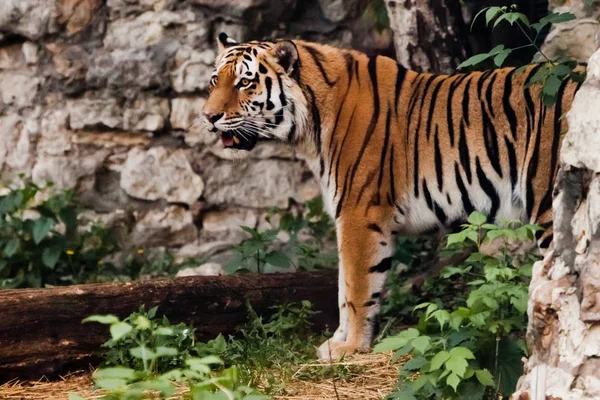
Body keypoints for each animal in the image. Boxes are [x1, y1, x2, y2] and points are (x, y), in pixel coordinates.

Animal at [200, 32, 580, 360]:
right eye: (215, 81)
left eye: (245, 82)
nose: (208, 117)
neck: (310, 124)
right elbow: (344, 287)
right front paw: (337, 342)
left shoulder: (358, 213)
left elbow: (355, 287)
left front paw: (350, 347)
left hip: (551, 210)